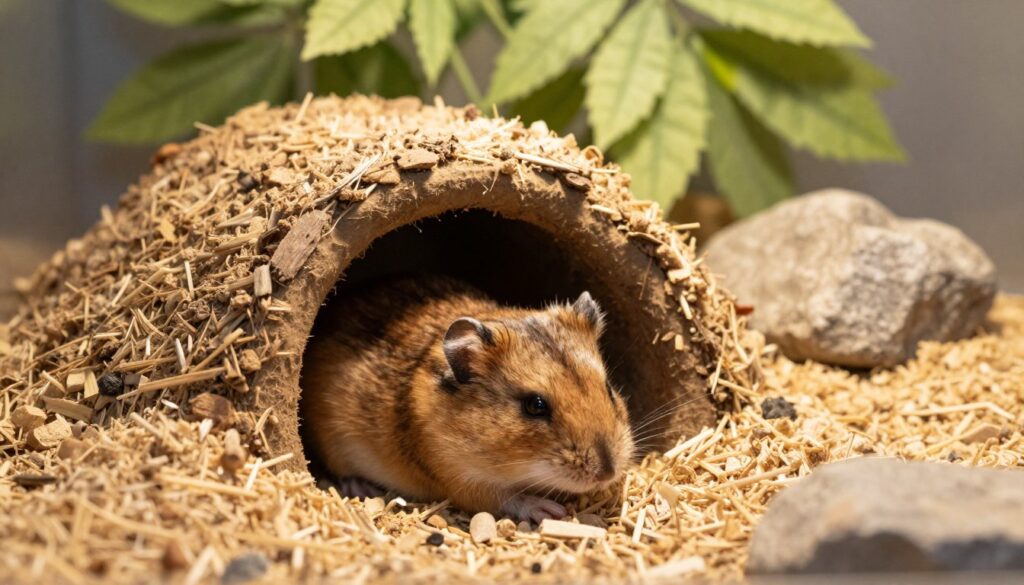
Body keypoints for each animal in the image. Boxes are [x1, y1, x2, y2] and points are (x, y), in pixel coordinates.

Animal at [300, 275, 634, 522]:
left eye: (608, 388)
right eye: (535, 406)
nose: (607, 473)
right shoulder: (459, 478)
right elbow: (507, 498)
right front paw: (550, 511)